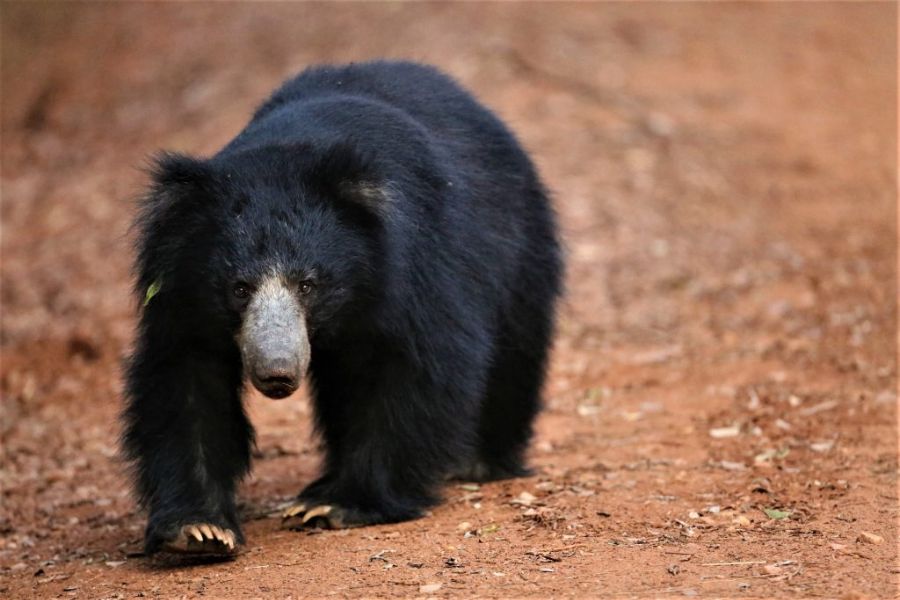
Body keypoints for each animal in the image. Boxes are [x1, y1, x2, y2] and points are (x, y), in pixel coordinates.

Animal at [123, 62, 564, 556]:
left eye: (308, 284)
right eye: (239, 288)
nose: (277, 373)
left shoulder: (418, 266)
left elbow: (416, 367)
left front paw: (336, 505)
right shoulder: (180, 292)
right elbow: (184, 382)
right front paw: (199, 529)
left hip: (517, 247)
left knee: (513, 352)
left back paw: (477, 461)